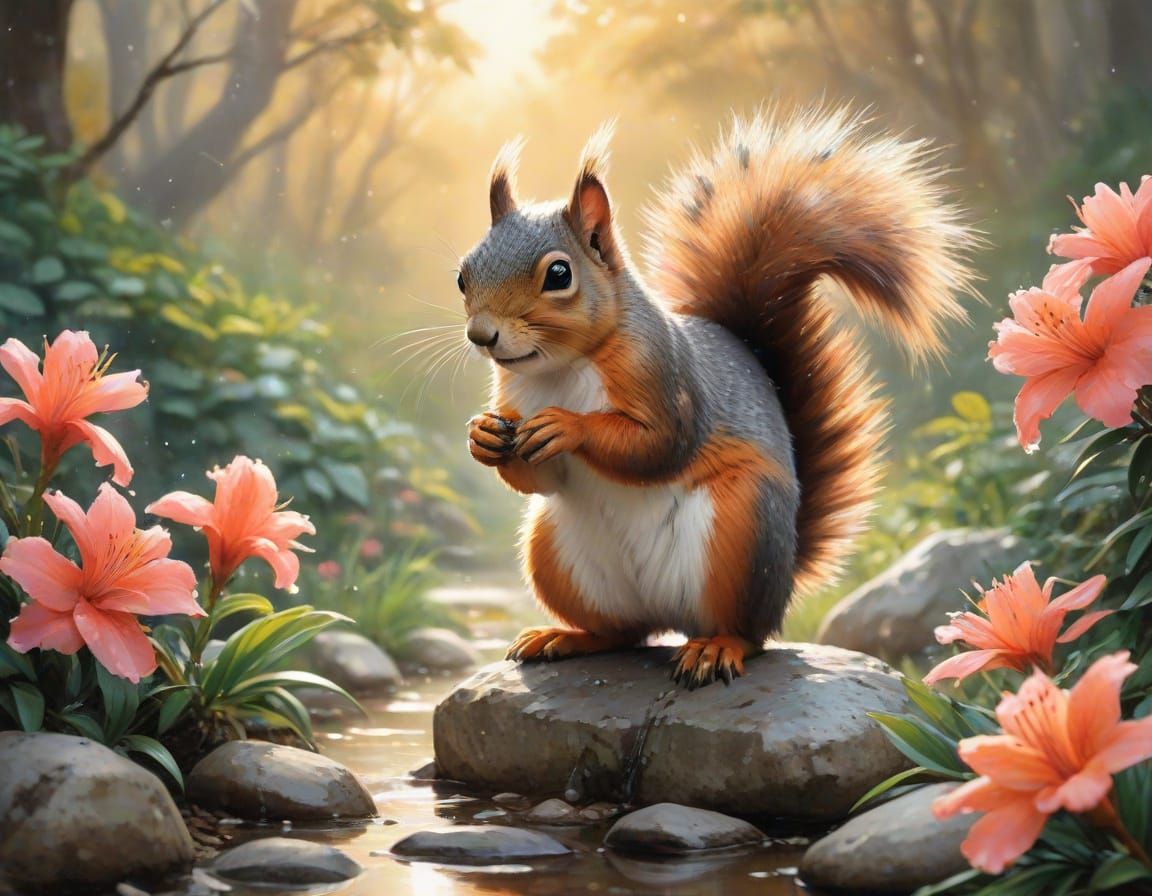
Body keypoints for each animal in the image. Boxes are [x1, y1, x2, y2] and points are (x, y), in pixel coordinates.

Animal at [458, 107, 975, 688]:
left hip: (743, 532)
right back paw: (566, 637)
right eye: (463, 275)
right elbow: (544, 479)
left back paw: (715, 649)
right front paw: (483, 437)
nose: (482, 335)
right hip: (554, 551)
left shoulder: (669, 380)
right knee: (624, 633)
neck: (560, 368)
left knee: (748, 634)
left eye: (559, 274)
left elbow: (659, 447)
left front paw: (569, 425)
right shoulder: (515, 402)